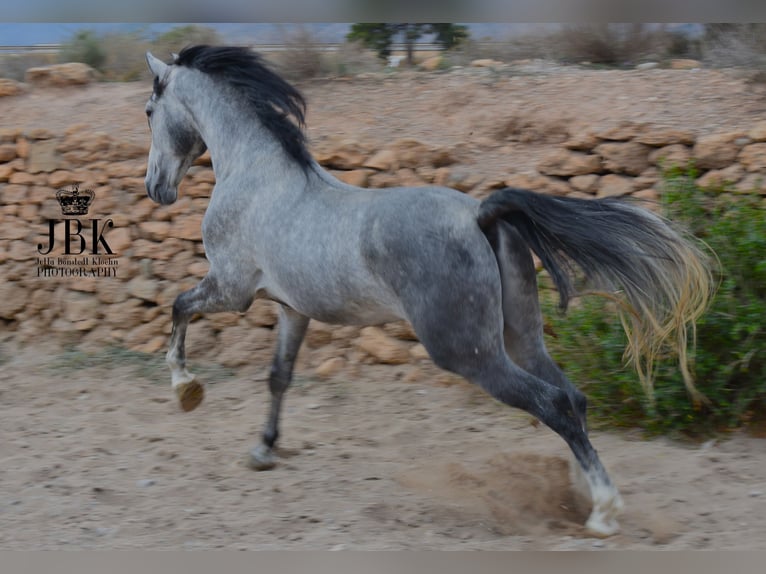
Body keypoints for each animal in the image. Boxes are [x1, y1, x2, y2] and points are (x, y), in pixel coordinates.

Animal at [142, 46, 712, 540]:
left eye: (149, 110)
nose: (155, 188)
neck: (257, 175)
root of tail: (479, 214)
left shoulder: (230, 288)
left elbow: (178, 307)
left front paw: (186, 389)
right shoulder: (291, 310)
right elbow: (278, 377)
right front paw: (262, 451)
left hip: (467, 352)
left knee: (551, 402)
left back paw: (603, 512)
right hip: (521, 335)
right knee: (572, 398)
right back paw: (581, 495)